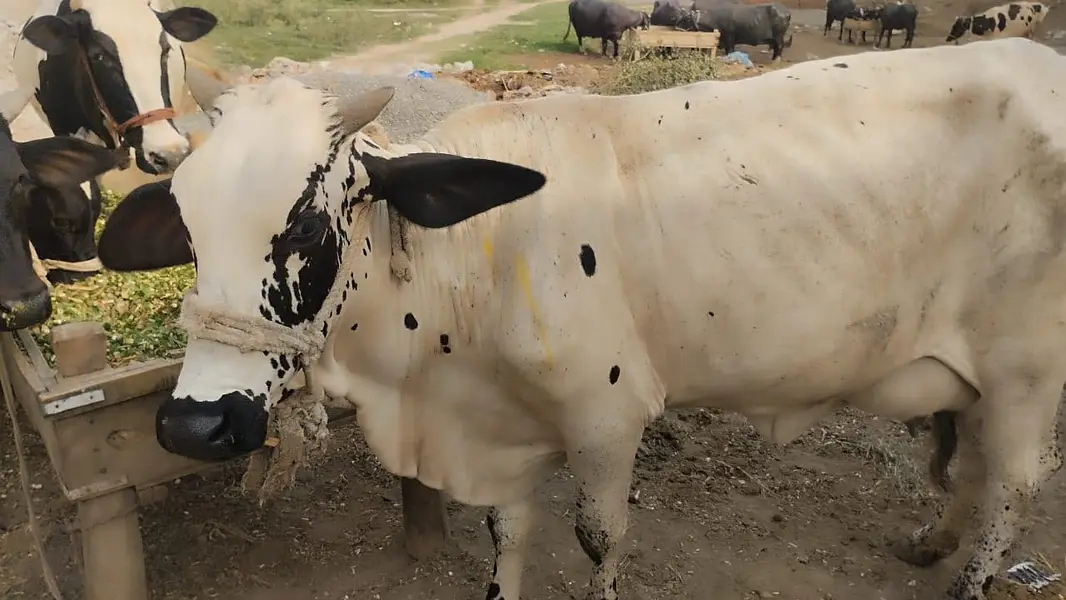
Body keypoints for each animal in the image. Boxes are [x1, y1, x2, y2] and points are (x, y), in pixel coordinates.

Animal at [98, 38, 1066, 600]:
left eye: (302, 224)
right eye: (185, 223)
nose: (194, 425)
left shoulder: (608, 417)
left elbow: (599, 537)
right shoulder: (501, 427)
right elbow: (507, 531)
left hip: (1027, 368)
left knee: (1013, 484)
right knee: (975, 466)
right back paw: (930, 542)